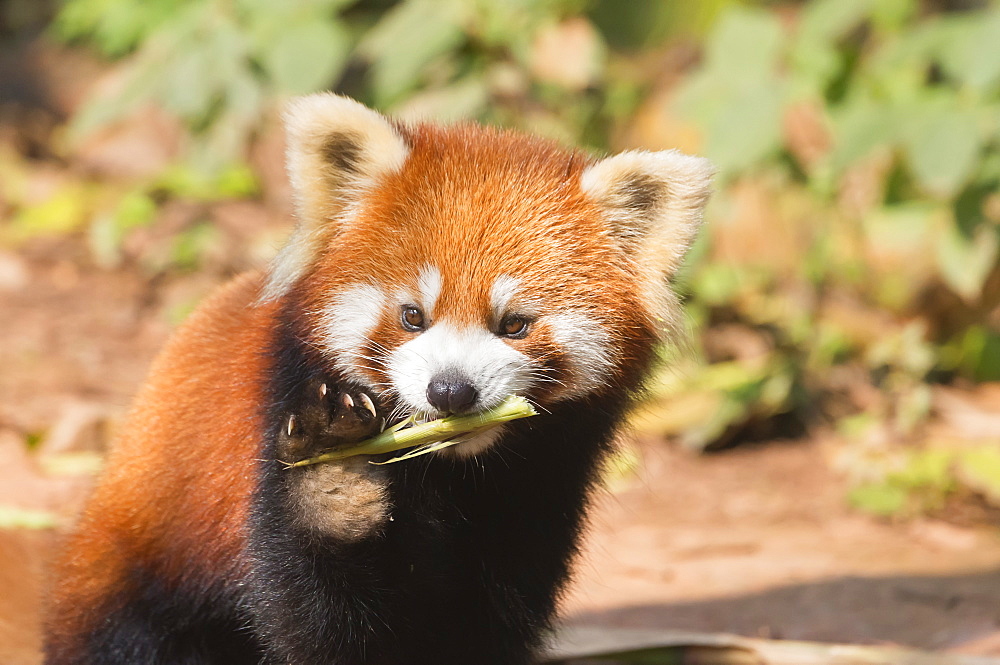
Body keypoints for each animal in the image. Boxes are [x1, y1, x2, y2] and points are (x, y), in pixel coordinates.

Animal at [45, 94, 712, 664]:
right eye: (413, 316)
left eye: (515, 324)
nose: (451, 390)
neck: (450, 477)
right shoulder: (274, 437)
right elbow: (314, 617)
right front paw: (336, 490)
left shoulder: (537, 495)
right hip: (141, 575)